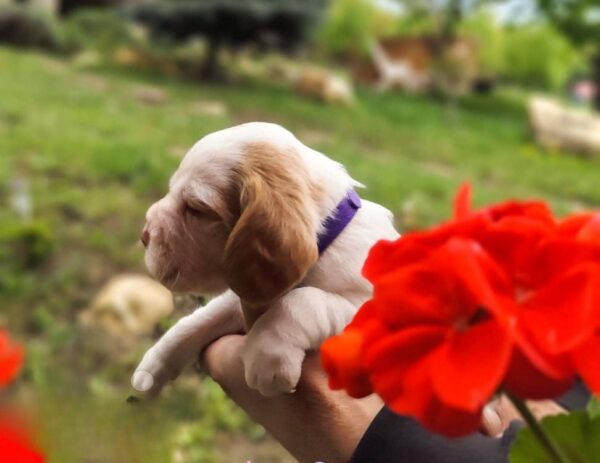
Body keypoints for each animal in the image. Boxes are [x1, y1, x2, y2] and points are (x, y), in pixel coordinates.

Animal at [132, 122, 399, 397]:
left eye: (196, 208)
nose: (144, 235)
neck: (330, 238)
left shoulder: (367, 309)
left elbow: (302, 299)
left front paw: (268, 355)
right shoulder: (245, 293)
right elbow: (199, 320)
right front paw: (153, 366)